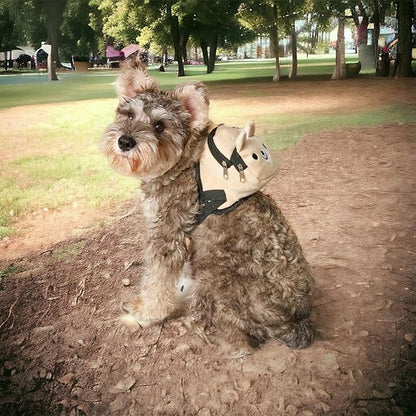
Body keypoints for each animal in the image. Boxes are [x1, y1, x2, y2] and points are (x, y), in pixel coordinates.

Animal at [101, 53, 314, 356]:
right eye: (129, 115)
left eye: (159, 126)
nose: (125, 141)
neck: (181, 166)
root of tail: (298, 320)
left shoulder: (168, 238)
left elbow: (156, 282)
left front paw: (144, 315)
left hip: (212, 271)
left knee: (242, 339)